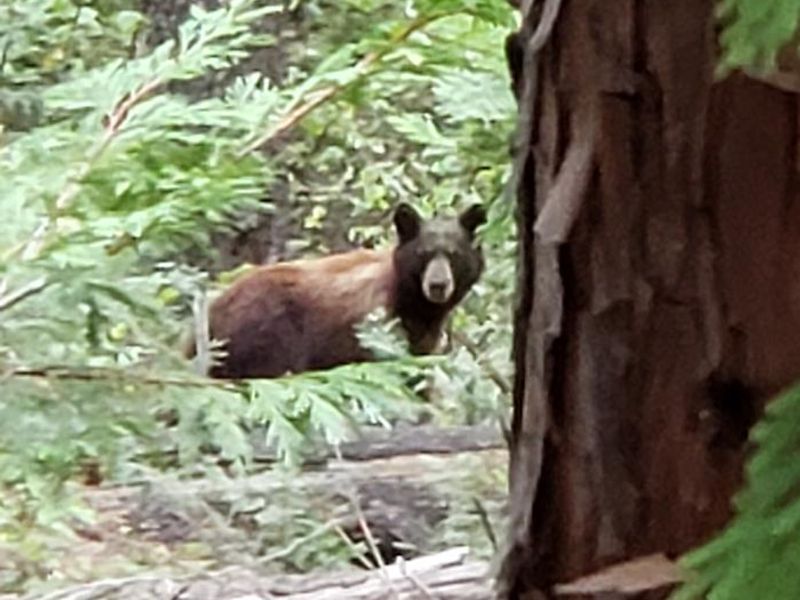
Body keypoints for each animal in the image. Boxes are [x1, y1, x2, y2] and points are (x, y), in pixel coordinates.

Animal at [187, 203, 486, 379]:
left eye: (454, 254)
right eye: (424, 253)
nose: (438, 285)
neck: (412, 302)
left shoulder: (421, 341)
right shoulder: (373, 327)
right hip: (263, 333)